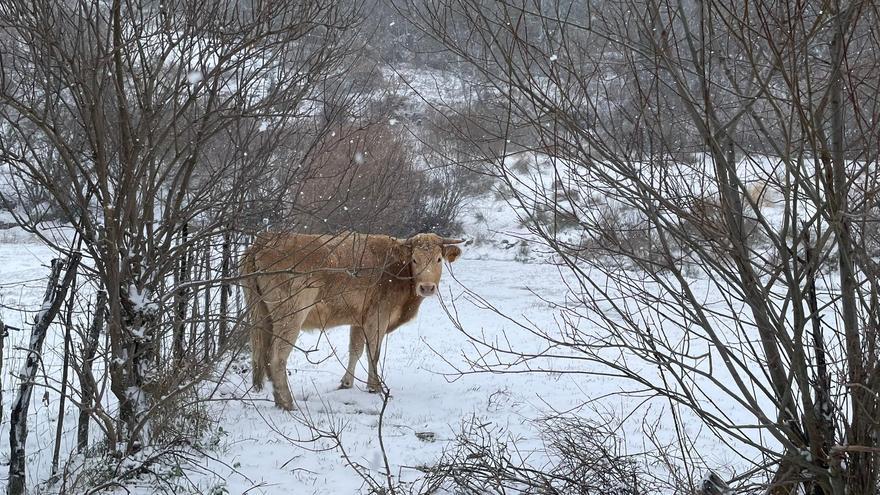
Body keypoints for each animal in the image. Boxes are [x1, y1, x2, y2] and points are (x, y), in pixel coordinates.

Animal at [237, 232, 464, 410]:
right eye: (415, 260)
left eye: (438, 259)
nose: (427, 287)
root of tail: (264, 240)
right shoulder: (378, 317)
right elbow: (373, 352)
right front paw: (375, 387)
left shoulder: (359, 319)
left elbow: (355, 349)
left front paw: (346, 383)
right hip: (291, 316)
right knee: (277, 356)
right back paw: (288, 404)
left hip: (264, 316)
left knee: (264, 354)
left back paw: (279, 401)